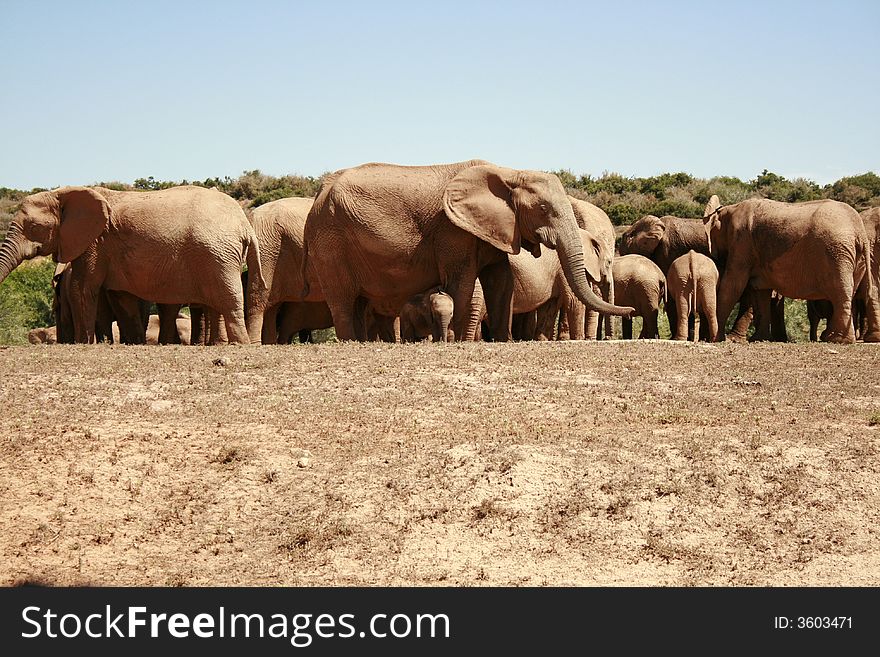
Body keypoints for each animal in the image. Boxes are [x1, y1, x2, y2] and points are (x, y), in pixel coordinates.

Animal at [0, 182, 262, 340]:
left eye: (33, 227)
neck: (63, 192)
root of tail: (245, 224)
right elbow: (120, 296)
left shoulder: (94, 241)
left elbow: (83, 288)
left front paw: (86, 343)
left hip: (217, 255)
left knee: (228, 300)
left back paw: (240, 344)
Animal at [244, 197, 326, 346]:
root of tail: (251, 216)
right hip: (265, 250)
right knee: (259, 296)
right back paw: (255, 344)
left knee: (272, 305)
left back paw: (270, 343)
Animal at [302, 161, 632, 340]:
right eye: (542, 209)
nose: (630, 311)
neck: (508, 173)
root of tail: (318, 193)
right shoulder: (453, 230)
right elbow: (461, 281)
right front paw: (457, 341)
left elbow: (501, 282)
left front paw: (502, 341)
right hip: (330, 242)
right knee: (343, 301)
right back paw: (351, 342)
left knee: (356, 301)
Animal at [700, 197, 872, 344]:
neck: (730, 208)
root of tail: (860, 231)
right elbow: (761, 291)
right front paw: (759, 339)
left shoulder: (741, 241)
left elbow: (733, 285)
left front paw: (716, 339)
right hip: (855, 258)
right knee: (847, 292)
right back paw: (833, 337)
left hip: (837, 253)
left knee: (840, 292)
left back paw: (836, 339)